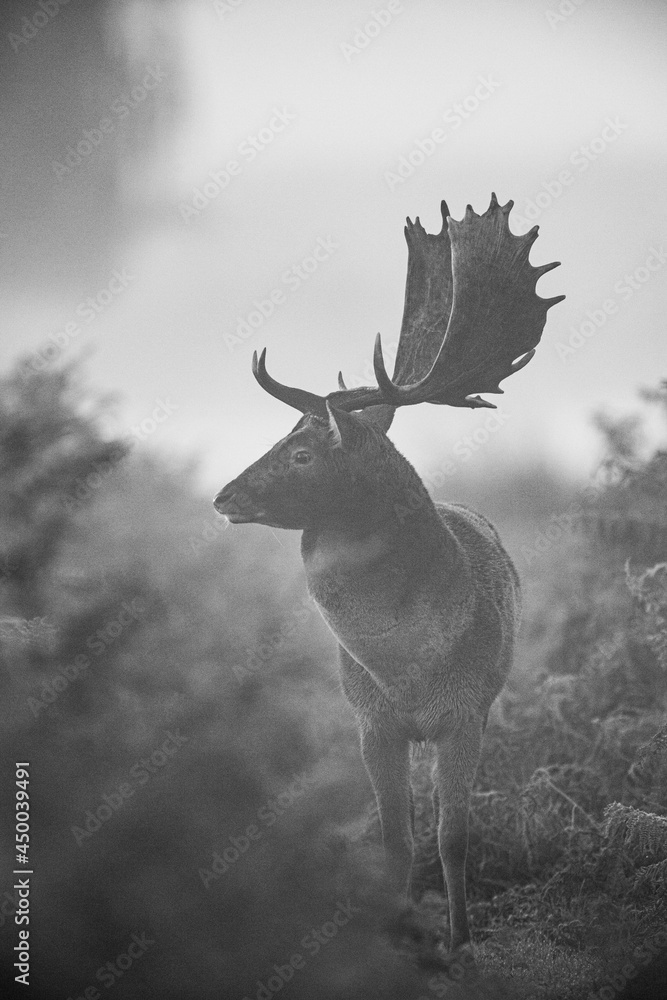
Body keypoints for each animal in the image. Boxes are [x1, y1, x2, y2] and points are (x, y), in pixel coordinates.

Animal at [214, 193, 564, 955]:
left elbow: (452, 836)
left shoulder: (465, 715)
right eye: (282, 437)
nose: (224, 496)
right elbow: (395, 840)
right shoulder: (370, 719)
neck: (405, 662)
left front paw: (458, 940)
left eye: (304, 453)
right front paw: (396, 930)